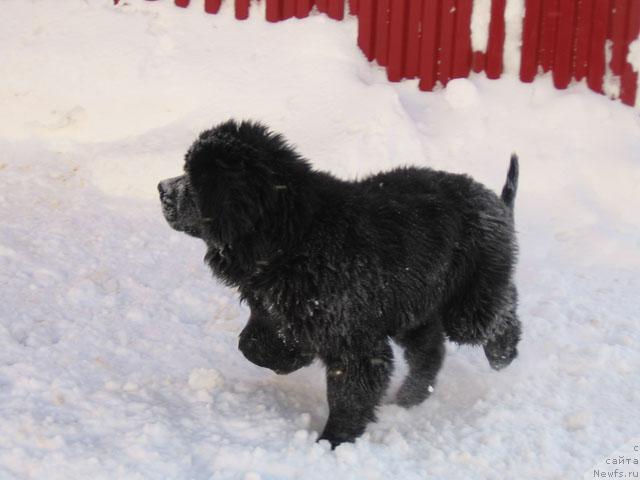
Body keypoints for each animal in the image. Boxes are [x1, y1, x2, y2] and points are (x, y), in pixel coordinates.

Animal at [159, 119, 520, 446]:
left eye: (193, 180)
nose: (162, 189)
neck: (294, 234)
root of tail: (496, 202)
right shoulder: (276, 306)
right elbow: (254, 344)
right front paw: (285, 358)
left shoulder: (354, 340)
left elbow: (349, 393)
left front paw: (333, 441)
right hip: (414, 304)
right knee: (430, 349)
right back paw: (408, 399)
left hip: (469, 303)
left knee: (498, 309)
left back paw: (502, 353)